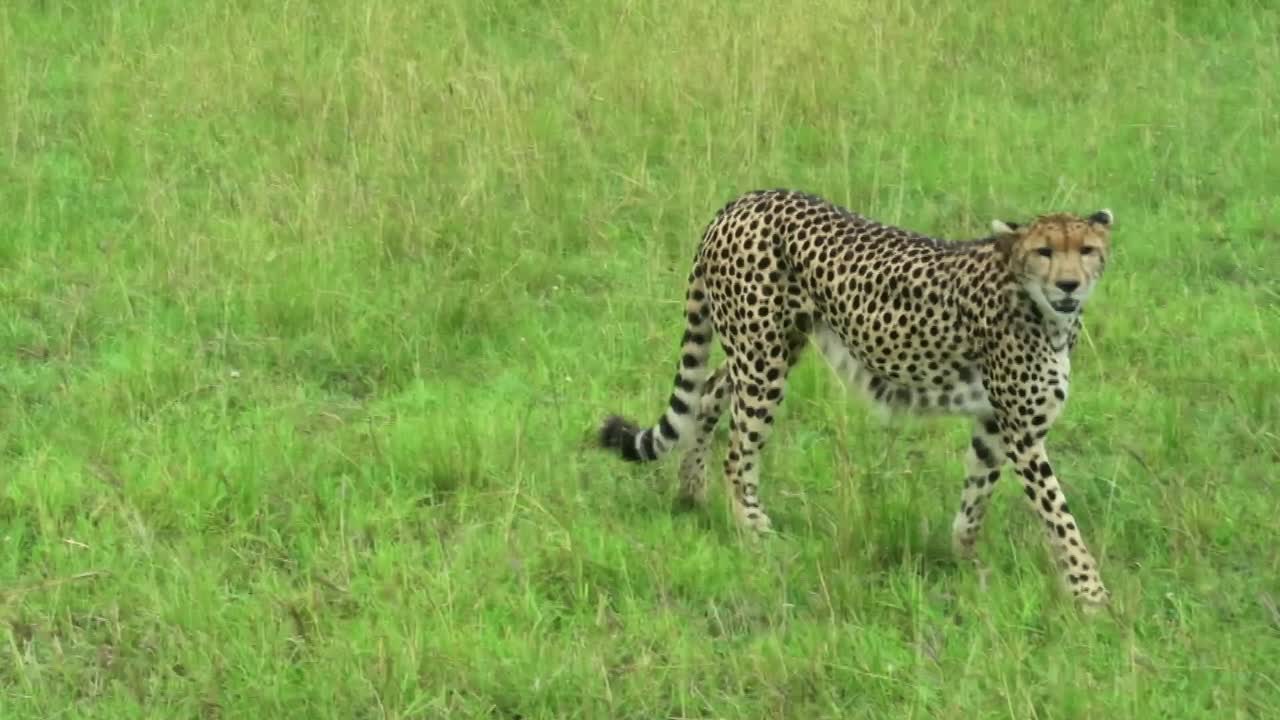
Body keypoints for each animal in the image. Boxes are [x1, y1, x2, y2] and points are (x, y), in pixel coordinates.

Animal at [597, 188, 1115, 608]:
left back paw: (691, 492)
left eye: (1087, 251)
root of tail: (744, 200)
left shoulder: (992, 423)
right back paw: (756, 532)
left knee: (708, 389)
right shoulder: (1021, 431)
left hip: (768, 347)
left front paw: (967, 564)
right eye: (1045, 251)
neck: (1041, 308)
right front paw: (1092, 595)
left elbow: (975, 499)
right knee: (738, 452)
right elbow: (1059, 515)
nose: (1069, 285)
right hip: (763, 360)